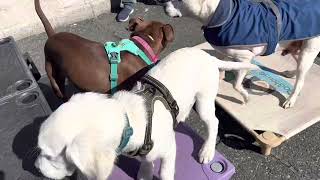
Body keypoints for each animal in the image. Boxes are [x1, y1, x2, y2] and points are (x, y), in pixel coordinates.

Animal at [34, 47, 258, 179]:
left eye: (49, 155)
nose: (36, 168)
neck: (129, 120)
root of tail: (209, 57)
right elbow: (147, 162)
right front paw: (145, 173)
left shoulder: (169, 150)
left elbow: (165, 172)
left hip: (204, 101)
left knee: (214, 122)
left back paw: (207, 150)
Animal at [181, 0, 320, 107]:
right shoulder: (226, 53)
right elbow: (222, 68)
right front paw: (219, 79)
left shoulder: (245, 58)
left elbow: (236, 85)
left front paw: (245, 97)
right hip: (298, 49)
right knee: (301, 68)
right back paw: (291, 74)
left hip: (307, 52)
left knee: (300, 81)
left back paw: (291, 99)